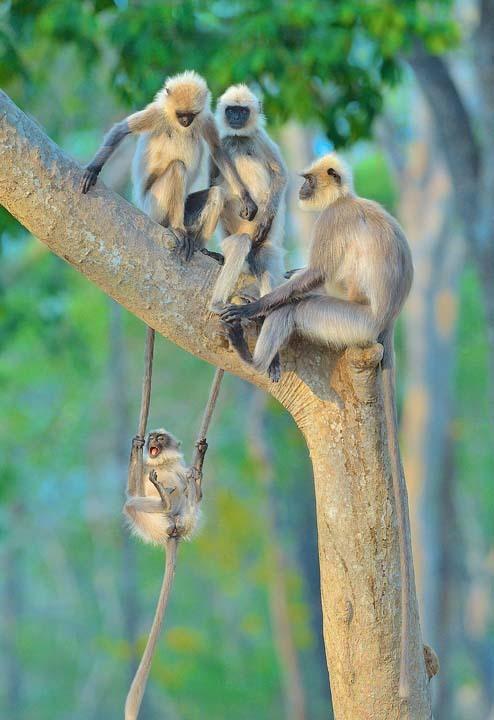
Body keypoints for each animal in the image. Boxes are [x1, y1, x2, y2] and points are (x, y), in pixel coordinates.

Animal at [80, 70, 258, 260]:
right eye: (180, 114)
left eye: (191, 115)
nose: (186, 121)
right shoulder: (157, 112)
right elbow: (122, 129)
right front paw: (92, 169)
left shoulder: (205, 118)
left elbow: (217, 150)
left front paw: (247, 198)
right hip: (154, 206)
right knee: (177, 167)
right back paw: (177, 229)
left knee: (216, 193)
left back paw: (199, 247)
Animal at [123, 430, 203, 716]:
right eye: (153, 437)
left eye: (160, 437)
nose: (151, 439)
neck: (163, 464)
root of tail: (173, 531)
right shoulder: (148, 470)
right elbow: (131, 490)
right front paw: (135, 447)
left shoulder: (179, 469)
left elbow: (192, 487)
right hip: (153, 524)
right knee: (131, 504)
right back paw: (164, 500)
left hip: (187, 519)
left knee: (191, 498)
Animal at [207, 82, 286, 312]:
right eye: (231, 110)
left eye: (242, 111)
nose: (235, 118)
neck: (239, 138)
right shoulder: (222, 141)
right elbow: (212, 181)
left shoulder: (260, 137)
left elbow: (281, 174)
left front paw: (266, 219)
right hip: (234, 237)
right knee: (241, 243)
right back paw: (217, 303)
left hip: (263, 243)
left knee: (264, 258)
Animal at [222, 152, 414, 696]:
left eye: (308, 180)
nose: (303, 189)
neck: (346, 199)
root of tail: (385, 324)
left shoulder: (333, 222)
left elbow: (313, 279)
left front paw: (252, 308)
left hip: (349, 324)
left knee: (302, 307)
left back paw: (253, 354)